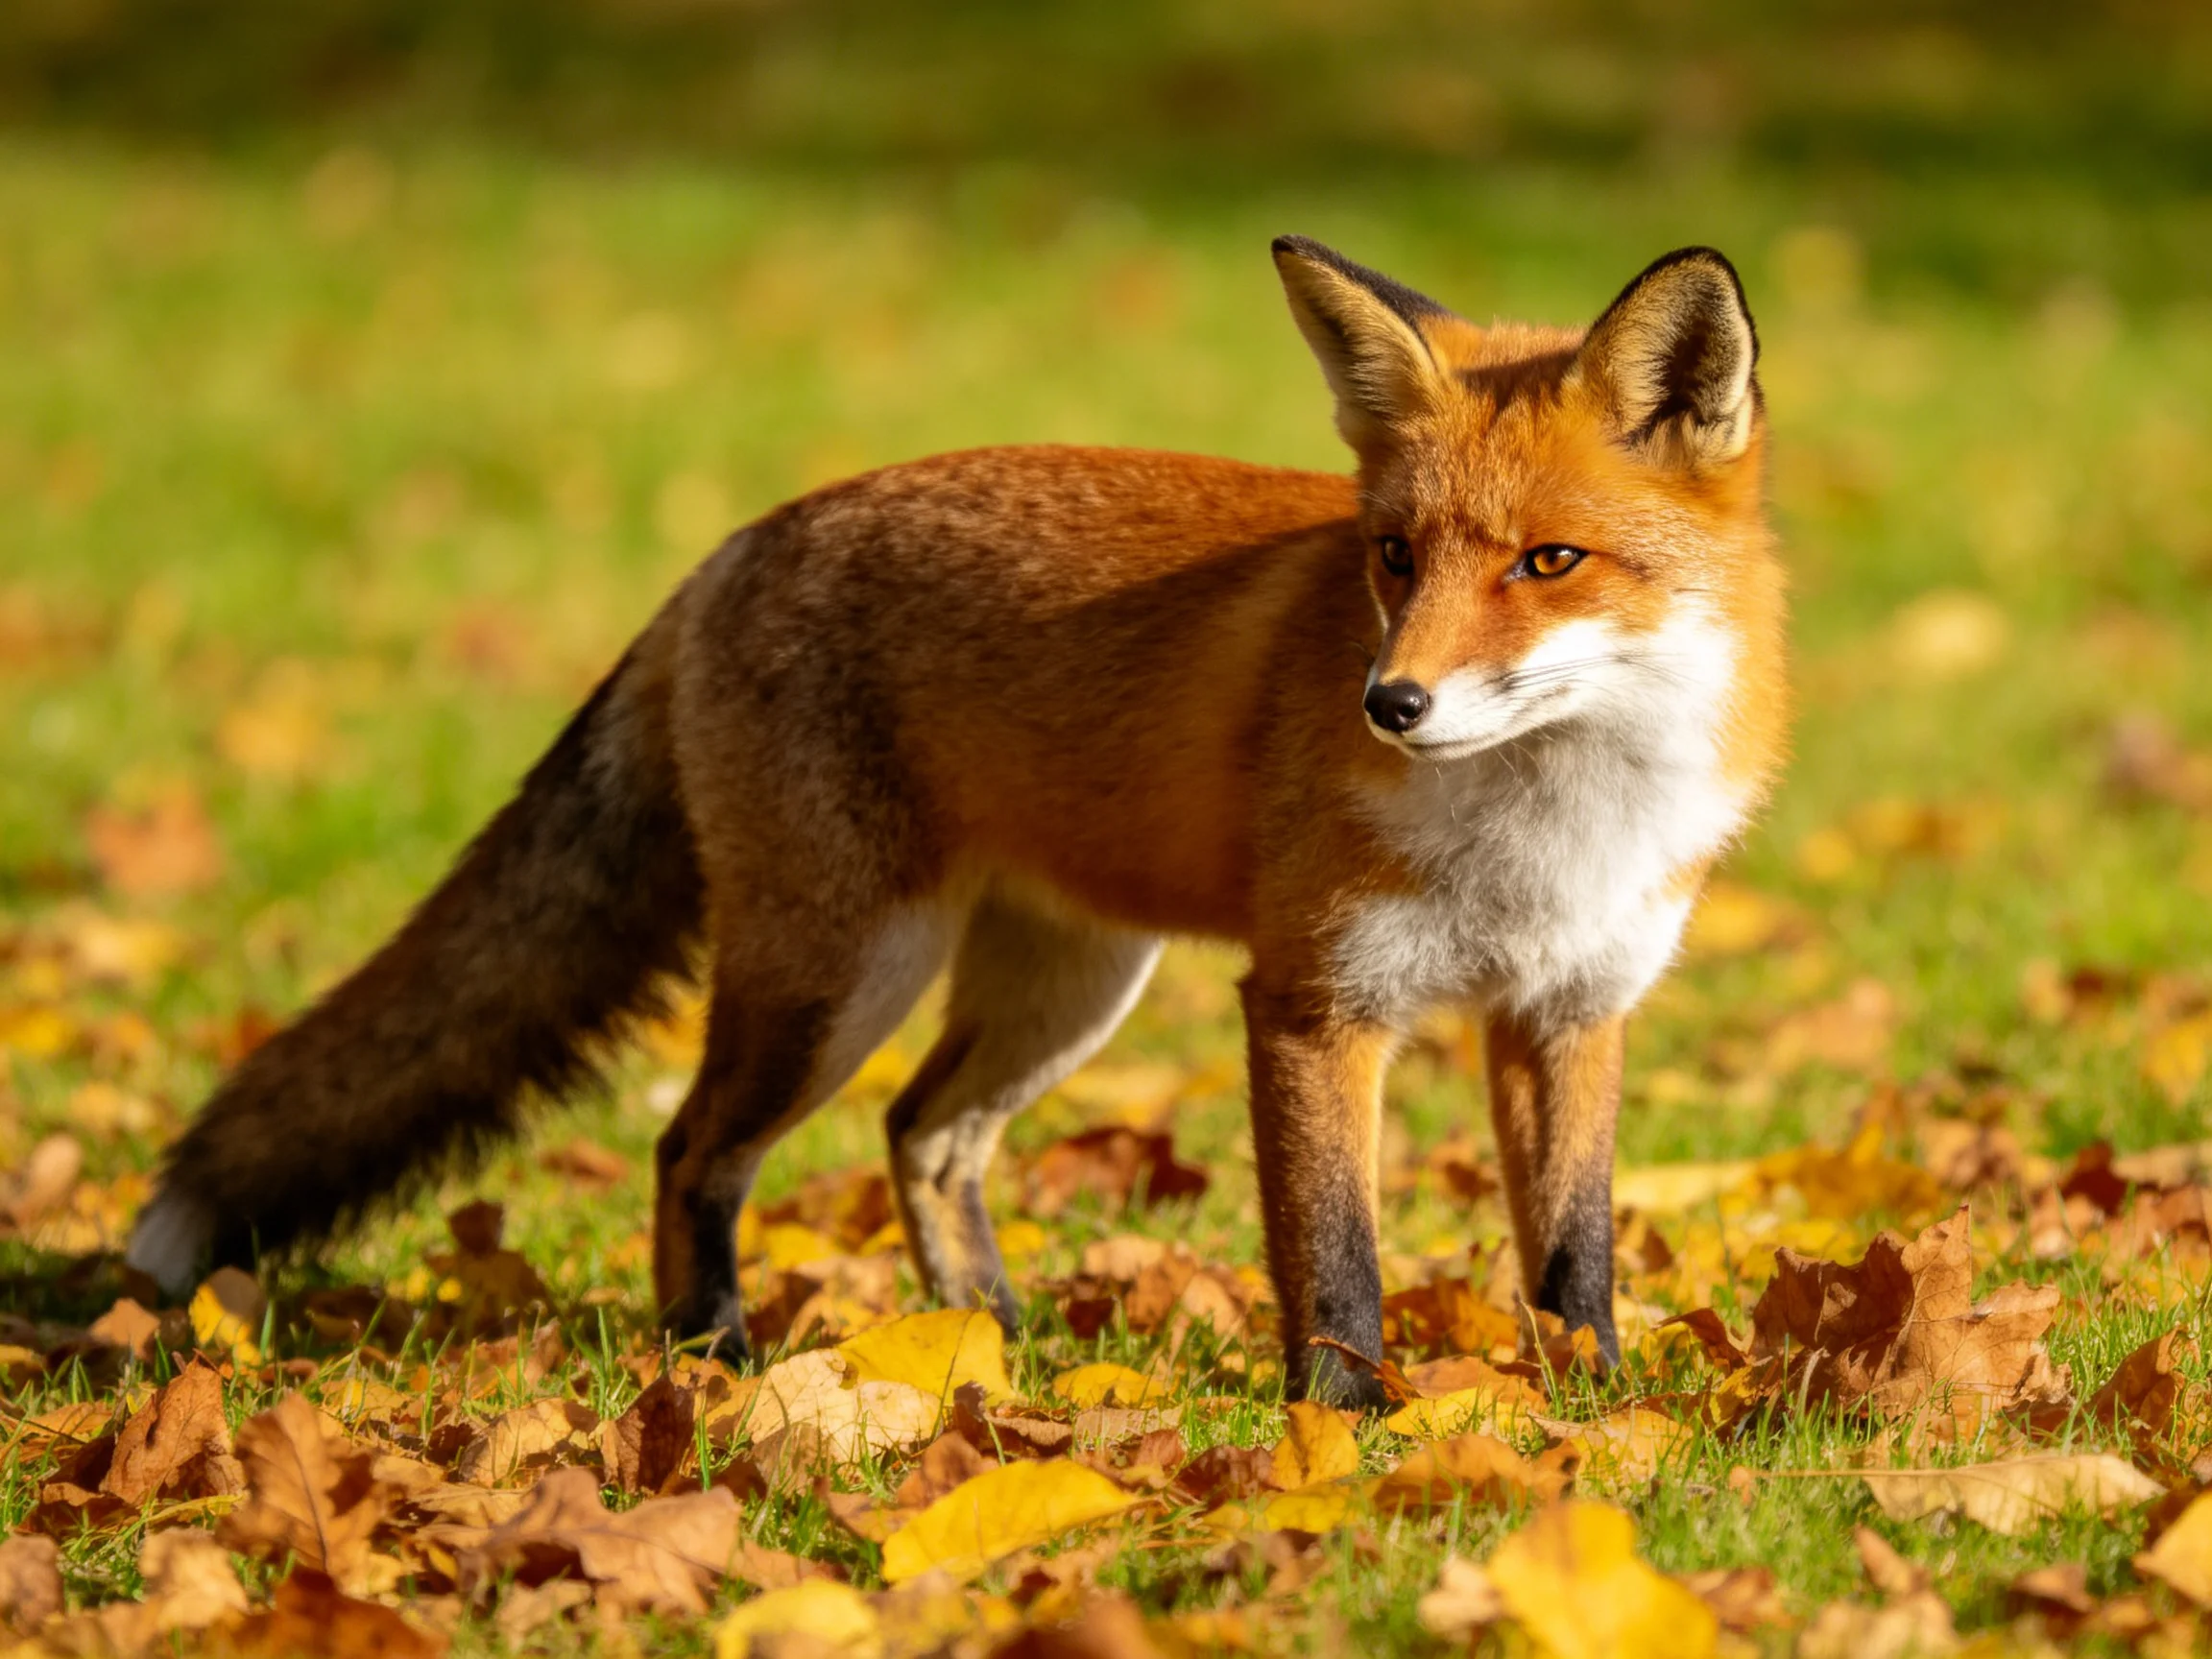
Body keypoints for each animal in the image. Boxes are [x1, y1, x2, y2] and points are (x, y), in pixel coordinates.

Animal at [126, 238, 1787, 1409]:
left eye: (1548, 561)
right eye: (1393, 556)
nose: (1389, 704)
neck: (1549, 822)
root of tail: (732, 546)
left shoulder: (1571, 1009)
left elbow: (1573, 1249)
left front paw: (1597, 1415)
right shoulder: (1317, 1004)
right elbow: (1335, 1259)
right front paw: (1344, 1437)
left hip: (1061, 989)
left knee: (922, 1134)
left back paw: (987, 1342)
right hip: (837, 980)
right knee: (693, 1149)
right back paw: (715, 1357)